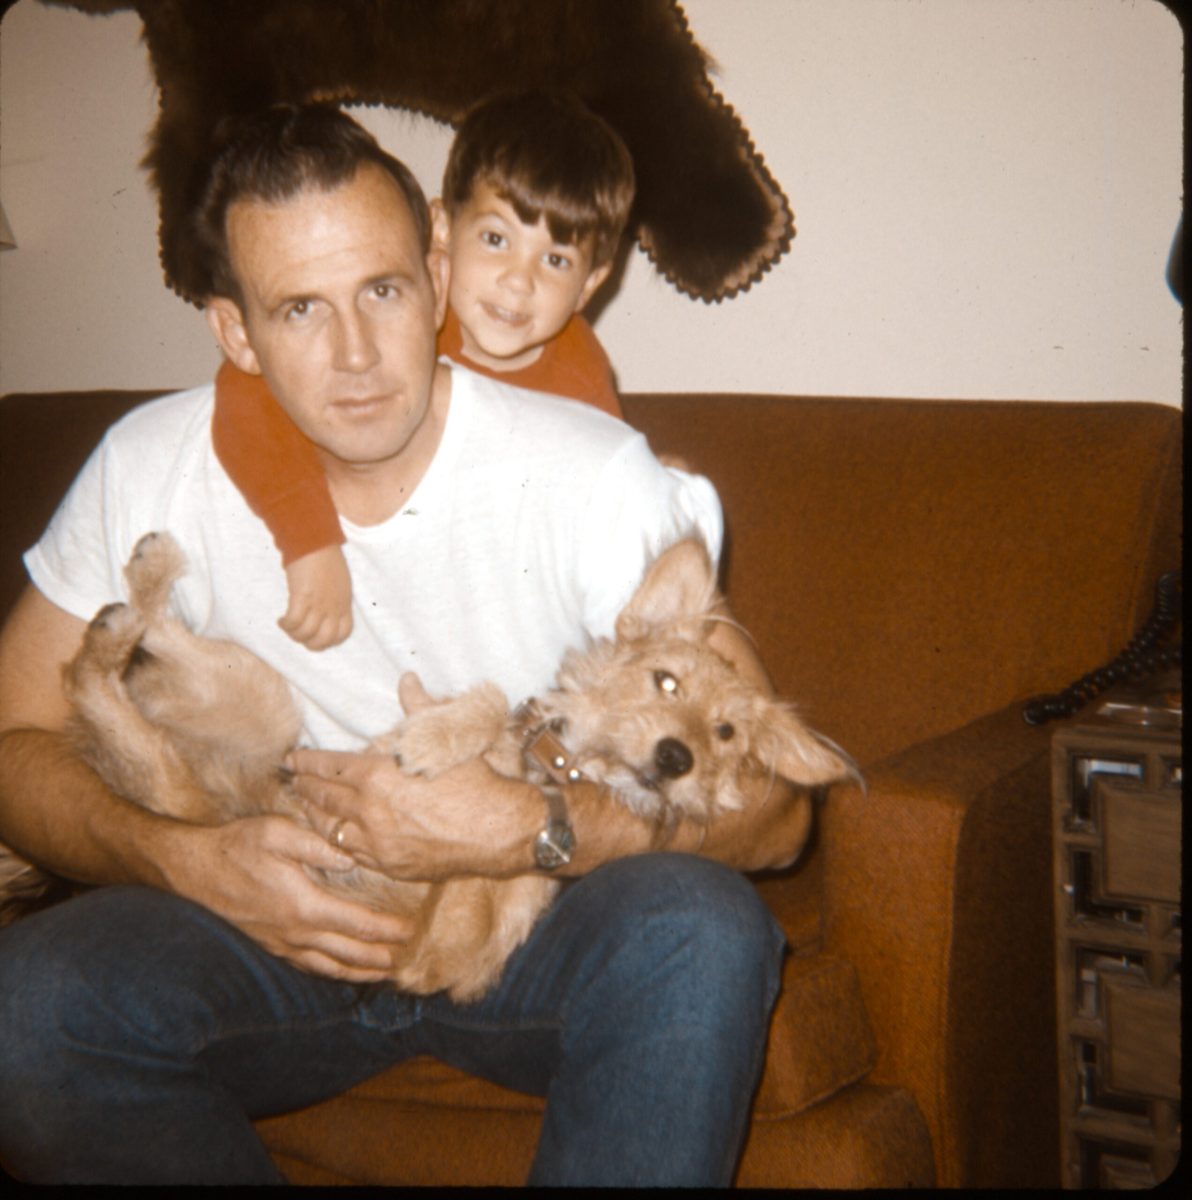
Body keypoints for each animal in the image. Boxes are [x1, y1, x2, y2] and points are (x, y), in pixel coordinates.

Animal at [0, 533, 858, 1000]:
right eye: (665, 682)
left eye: (726, 735)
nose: (676, 758)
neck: (553, 768)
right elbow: (492, 699)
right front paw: (439, 734)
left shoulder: (450, 946)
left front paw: (443, 747)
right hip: (260, 702)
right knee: (113, 658)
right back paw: (143, 583)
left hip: (203, 754)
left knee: (93, 680)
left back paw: (124, 616)